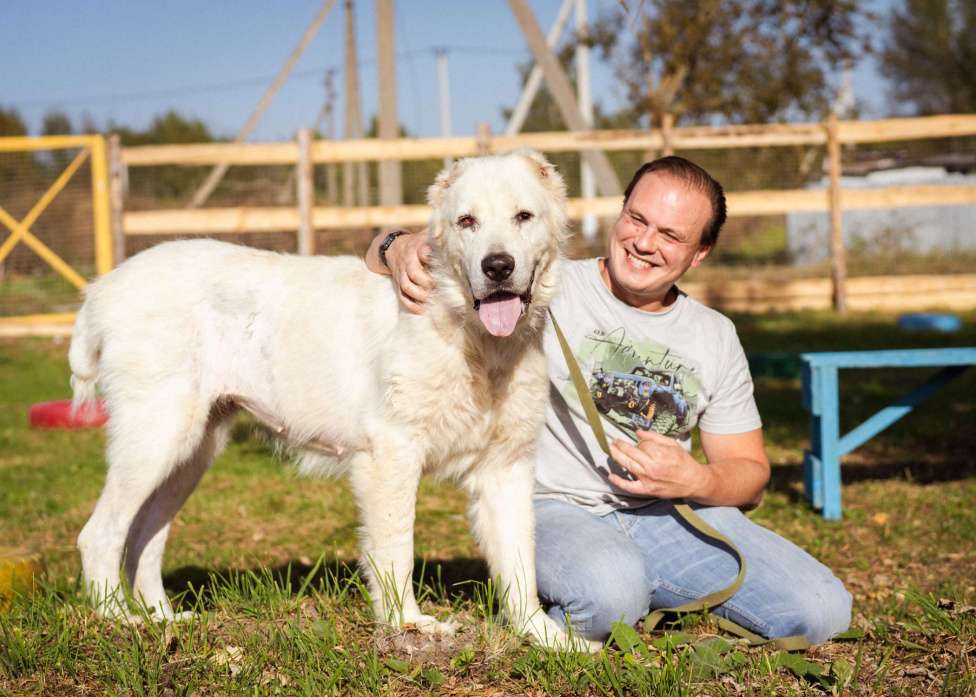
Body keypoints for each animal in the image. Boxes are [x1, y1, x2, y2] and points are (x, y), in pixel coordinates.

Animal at [70, 150, 596, 648]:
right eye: (467, 221)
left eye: (523, 216)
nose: (498, 266)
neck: (465, 331)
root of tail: (103, 288)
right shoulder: (390, 454)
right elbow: (397, 548)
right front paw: (407, 623)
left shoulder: (505, 467)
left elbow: (519, 562)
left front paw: (544, 637)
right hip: (156, 437)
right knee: (100, 533)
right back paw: (117, 620)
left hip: (192, 452)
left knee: (145, 534)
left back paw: (161, 617)